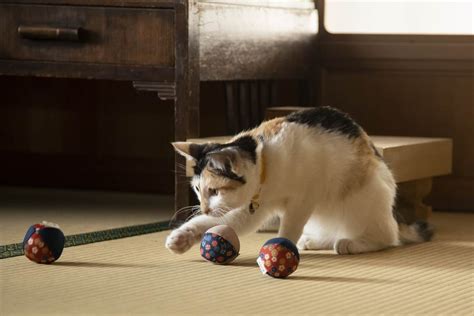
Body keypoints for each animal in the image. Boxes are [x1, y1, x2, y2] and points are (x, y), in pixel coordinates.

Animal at [165, 106, 432, 254]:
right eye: (197, 189)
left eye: (214, 191)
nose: (204, 207)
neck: (266, 168)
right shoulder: (249, 210)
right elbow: (211, 223)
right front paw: (180, 238)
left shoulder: (303, 200)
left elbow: (289, 227)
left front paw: (279, 249)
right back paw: (314, 241)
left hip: (364, 197)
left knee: (387, 237)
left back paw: (352, 244)